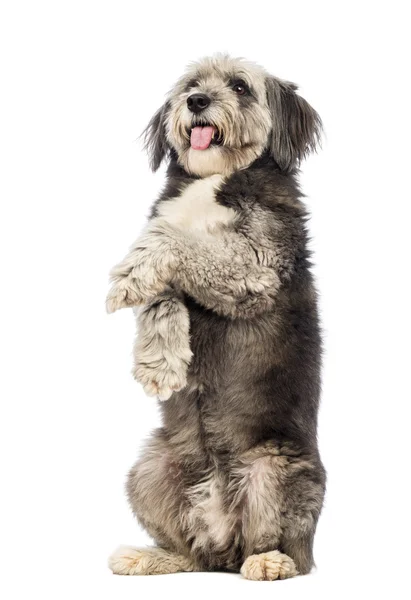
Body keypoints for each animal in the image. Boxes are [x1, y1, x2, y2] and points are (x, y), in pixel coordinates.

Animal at [108, 54, 326, 580]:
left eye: (240, 87)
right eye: (191, 84)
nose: (197, 101)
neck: (213, 180)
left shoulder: (253, 265)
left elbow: (173, 242)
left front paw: (127, 275)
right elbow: (162, 296)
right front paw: (159, 363)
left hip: (273, 469)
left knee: (283, 549)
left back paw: (268, 562)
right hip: (151, 468)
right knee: (193, 553)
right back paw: (151, 556)